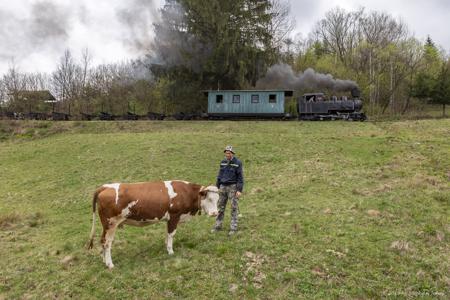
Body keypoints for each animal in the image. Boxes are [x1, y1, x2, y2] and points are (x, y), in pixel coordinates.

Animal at [86, 180, 220, 270]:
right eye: (209, 199)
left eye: (218, 199)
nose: (215, 213)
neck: (186, 193)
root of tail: (105, 186)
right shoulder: (174, 216)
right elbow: (171, 234)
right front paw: (171, 251)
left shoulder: (169, 219)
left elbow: (167, 234)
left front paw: (166, 247)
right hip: (111, 224)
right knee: (107, 243)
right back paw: (110, 264)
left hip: (106, 225)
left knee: (102, 240)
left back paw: (104, 261)